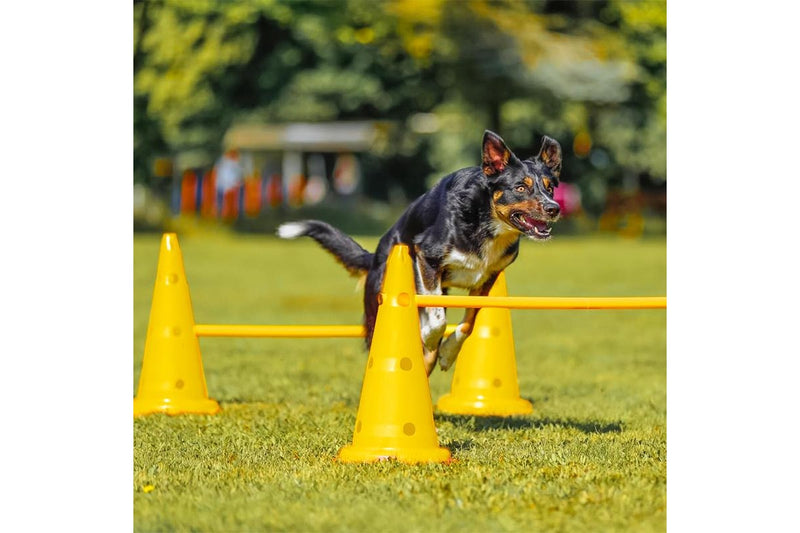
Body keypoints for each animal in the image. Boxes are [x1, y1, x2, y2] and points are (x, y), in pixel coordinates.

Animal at [280, 130, 564, 374]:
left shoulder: (487, 278)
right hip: (378, 305)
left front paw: (448, 353)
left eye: (550, 187)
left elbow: (468, 323)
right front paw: (428, 335)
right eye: (520, 187)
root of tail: (376, 256)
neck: (485, 218)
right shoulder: (426, 256)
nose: (554, 208)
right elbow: (437, 320)